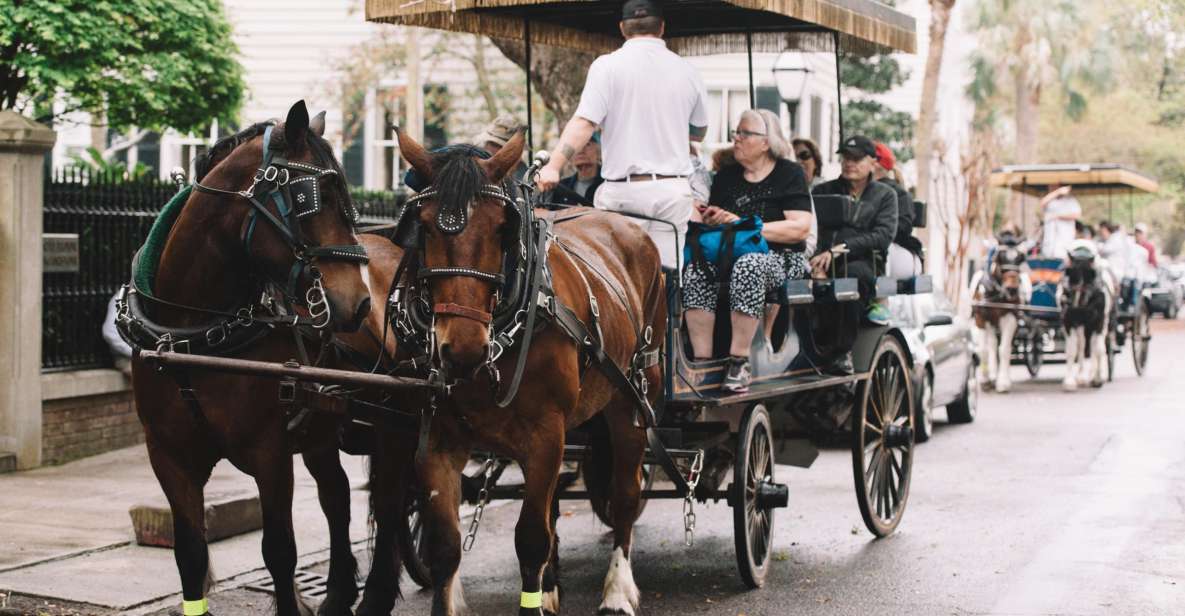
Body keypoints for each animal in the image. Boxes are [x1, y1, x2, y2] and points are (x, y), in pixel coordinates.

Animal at [133, 101, 383, 616]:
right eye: (313, 197)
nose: (359, 303)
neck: (193, 333)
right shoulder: (168, 454)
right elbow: (190, 554)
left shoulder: (270, 452)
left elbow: (280, 552)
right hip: (321, 429)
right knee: (337, 496)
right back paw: (338, 592)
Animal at [391, 127, 663, 611]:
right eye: (422, 226)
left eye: (502, 228)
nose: (463, 348)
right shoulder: (437, 439)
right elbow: (445, 548)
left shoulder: (545, 434)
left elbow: (531, 538)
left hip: (632, 399)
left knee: (625, 495)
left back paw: (617, 589)